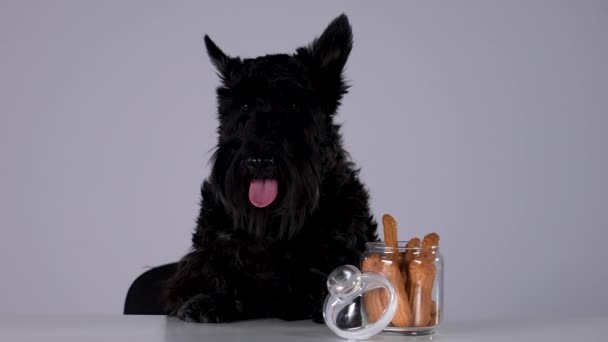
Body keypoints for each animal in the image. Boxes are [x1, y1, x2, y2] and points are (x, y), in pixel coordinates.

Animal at [164, 13, 378, 324]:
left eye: (294, 104)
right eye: (243, 105)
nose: (259, 161)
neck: (274, 227)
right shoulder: (209, 253)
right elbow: (217, 271)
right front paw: (211, 300)